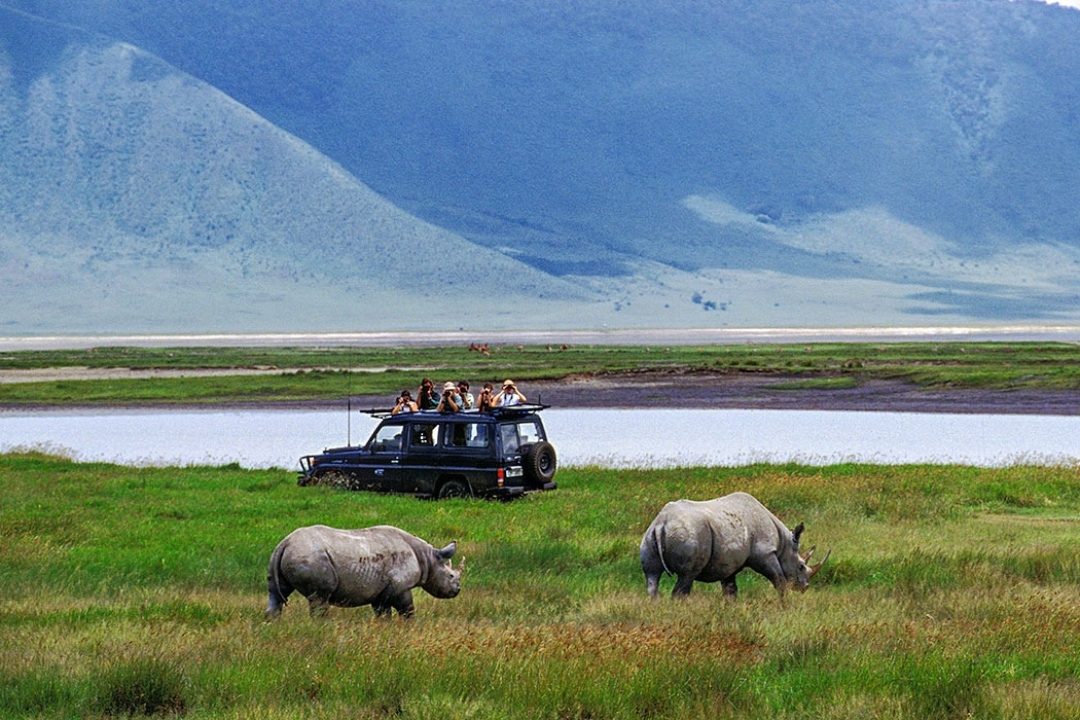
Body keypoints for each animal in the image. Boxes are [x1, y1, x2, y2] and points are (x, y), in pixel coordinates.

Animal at [265, 524, 461, 619]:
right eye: (451, 575)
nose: (457, 590)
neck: (428, 558)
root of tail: (286, 542)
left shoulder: (381, 592)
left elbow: (383, 614)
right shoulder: (401, 587)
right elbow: (407, 610)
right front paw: (409, 627)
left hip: (280, 555)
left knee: (276, 593)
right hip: (310, 556)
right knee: (319, 598)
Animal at [640, 492, 829, 600]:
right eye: (801, 566)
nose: (805, 587)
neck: (785, 544)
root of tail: (662, 523)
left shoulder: (727, 563)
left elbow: (730, 589)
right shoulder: (766, 554)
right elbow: (779, 580)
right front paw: (785, 606)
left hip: (649, 537)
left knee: (652, 576)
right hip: (690, 534)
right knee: (687, 575)